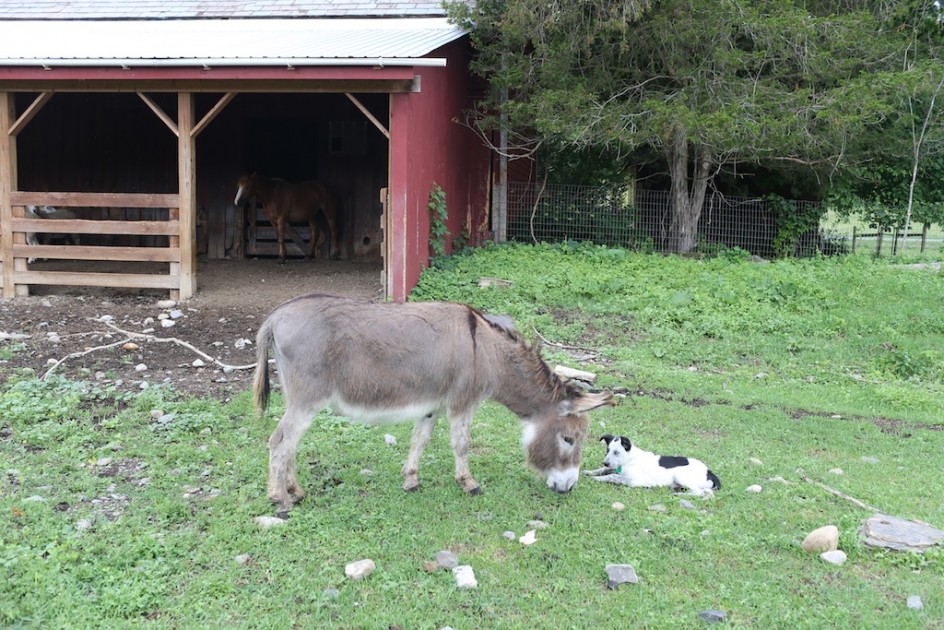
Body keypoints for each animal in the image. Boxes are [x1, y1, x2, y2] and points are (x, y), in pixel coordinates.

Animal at [584, 434, 724, 498]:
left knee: (698, 492)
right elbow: (605, 469)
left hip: (680, 475)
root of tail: (709, 472)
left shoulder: (634, 481)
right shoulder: (614, 467)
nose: (605, 462)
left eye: (616, 452)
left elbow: (613, 476)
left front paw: (597, 478)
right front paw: (590, 472)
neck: (629, 459)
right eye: (607, 450)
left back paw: (678, 495)